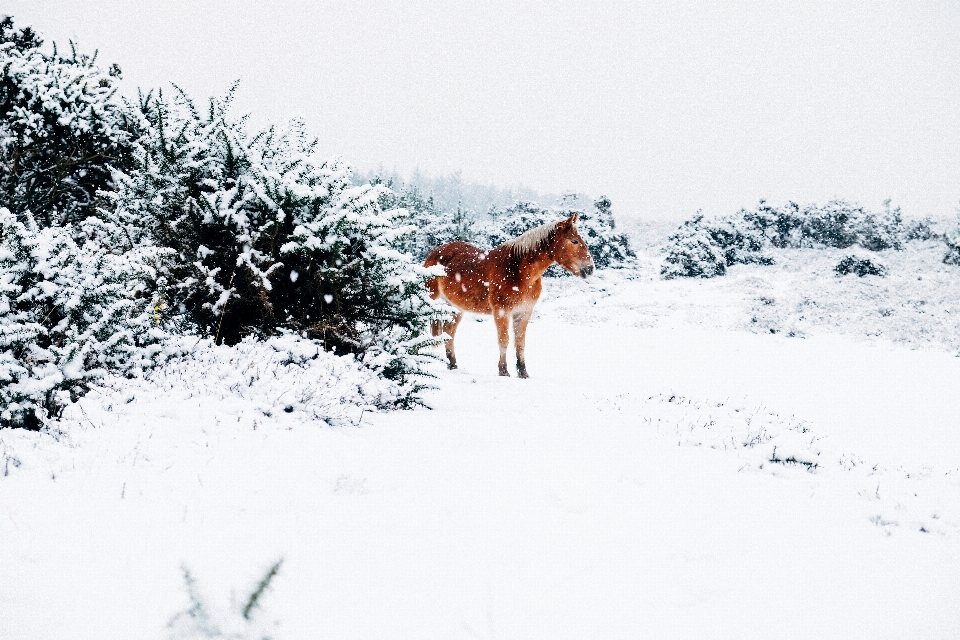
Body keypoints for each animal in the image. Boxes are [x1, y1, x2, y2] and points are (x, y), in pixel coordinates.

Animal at [426, 212, 592, 378]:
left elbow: (520, 342)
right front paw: (504, 371)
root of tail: (435, 253)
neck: (518, 271)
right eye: (574, 241)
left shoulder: (524, 312)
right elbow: (504, 339)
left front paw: (523, 372)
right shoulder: (502, 311)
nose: (590, 268)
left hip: (455, 308)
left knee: (449, 332)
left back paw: (452, 364)